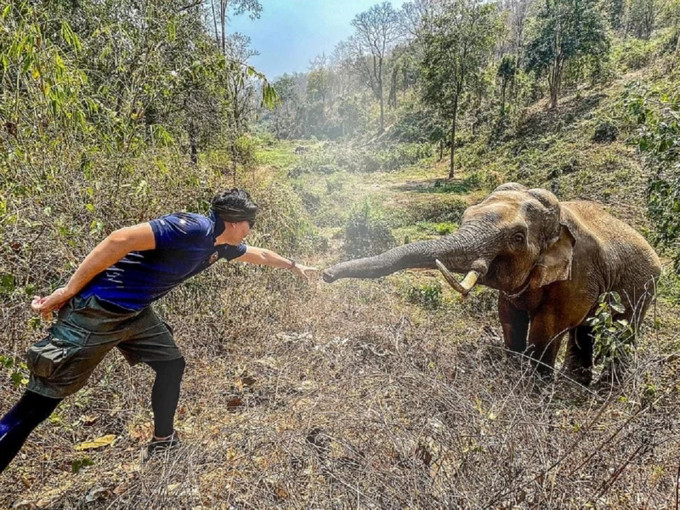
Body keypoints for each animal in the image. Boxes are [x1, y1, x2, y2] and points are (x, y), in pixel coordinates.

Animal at [322, 181, 660, 384]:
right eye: (465, 216)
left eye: (518, 238)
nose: (325, 274)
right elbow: (509, 318)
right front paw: (513, 375)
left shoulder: (577, 274)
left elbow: (547, 328)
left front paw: (534, 392)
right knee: (587, 331)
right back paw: (576, 385)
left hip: (644, 285)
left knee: (623, 329)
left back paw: (603, 389)